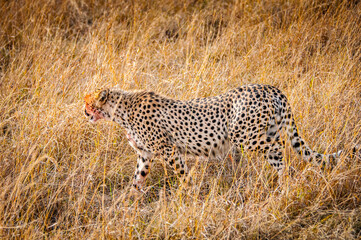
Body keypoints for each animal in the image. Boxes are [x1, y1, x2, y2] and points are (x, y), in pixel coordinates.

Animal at [83, 84, 344, 191]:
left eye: (87, 102)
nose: (84, 112)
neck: (119, 111)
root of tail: (270, 87)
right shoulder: (145, 155)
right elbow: (137, 179)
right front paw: (128, 202)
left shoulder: (169, 150)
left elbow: (183, 175)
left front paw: (189, 195)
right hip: (265, 131)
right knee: (278, 153)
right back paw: (285, 183)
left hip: (244, 135)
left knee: (279, 148)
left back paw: (285, 181)